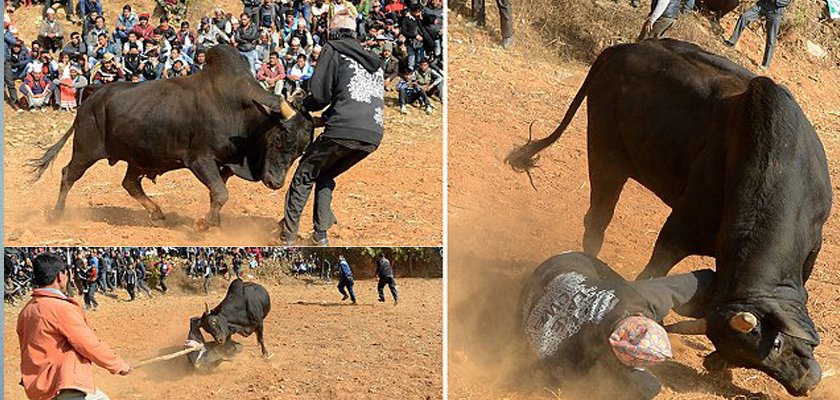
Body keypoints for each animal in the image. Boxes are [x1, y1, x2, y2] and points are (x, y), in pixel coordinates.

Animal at [28, 44, 316, 228]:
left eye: (300, 150)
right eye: (279, 138)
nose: (275, 183)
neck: (241, 110)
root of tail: (92, 95)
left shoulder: (223, 165)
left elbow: (217, 195)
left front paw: (214, 223)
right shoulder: (199, 160)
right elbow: (220, 194)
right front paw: (202, 225)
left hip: (137, 159)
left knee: (130, 184)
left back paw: (157, 213)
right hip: (85, 150)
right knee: (68, 174)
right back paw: (56, 215)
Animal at [508, 39, 832, 396]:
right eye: (773, 346)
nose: (805, 383)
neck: (780, 165)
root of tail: (620, 49)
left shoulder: (812, 246)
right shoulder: (681, 228)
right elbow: (656, 267)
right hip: (606, 159)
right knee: (597, 220)